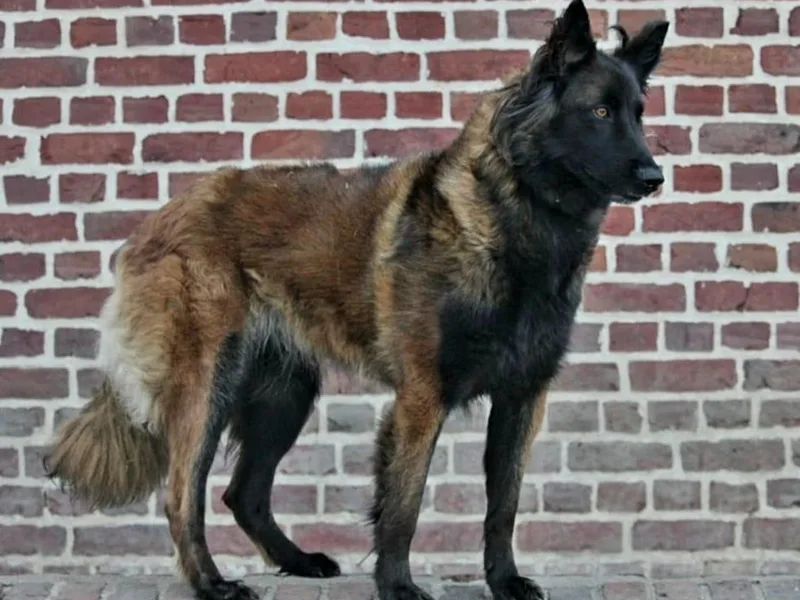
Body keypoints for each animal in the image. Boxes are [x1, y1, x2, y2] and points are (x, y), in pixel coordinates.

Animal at [43, 2, 669, 599]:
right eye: (600, 113)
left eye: (638, 114)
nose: (655, 176)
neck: (521, 222)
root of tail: (161, 216)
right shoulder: (421, 397)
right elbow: (403, 506)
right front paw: (397, 587)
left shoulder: (522, 397)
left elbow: (503, 506)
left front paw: (505, 582)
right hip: (209, 386)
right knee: (182, 495)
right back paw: (213, 585)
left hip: (284, 394)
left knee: (243, 494)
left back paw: (296, 562)